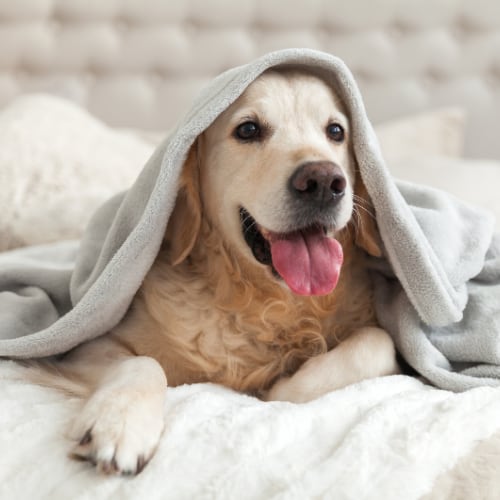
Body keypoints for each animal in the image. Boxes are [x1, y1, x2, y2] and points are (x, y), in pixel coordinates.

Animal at [30, 68, 398, 474]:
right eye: (248, 129)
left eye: (336, 131)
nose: (322, 182)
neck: (263, 301)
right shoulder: (82, 348)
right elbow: (143, 362)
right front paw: (119, 422)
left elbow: (379, 342)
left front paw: (284, 387)